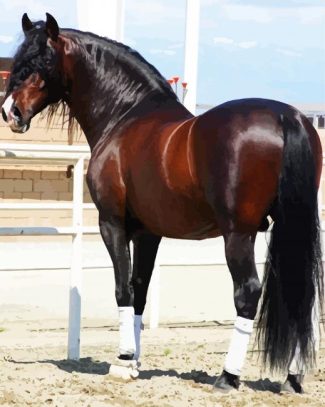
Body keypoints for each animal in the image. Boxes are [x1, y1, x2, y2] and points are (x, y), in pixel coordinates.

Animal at [1, 13, 322, 396]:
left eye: (43, 61)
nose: (10, 112)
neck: (124, 114)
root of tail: (288, 117)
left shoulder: (111, 224)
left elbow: (122, 287)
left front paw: (123, 360)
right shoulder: (147, 233)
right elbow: (140, 288)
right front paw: (135, 361)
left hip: (238, 234)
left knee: (247, 292)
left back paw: (227, 376)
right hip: (291, 227)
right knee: (301, 293)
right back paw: (292, 379)